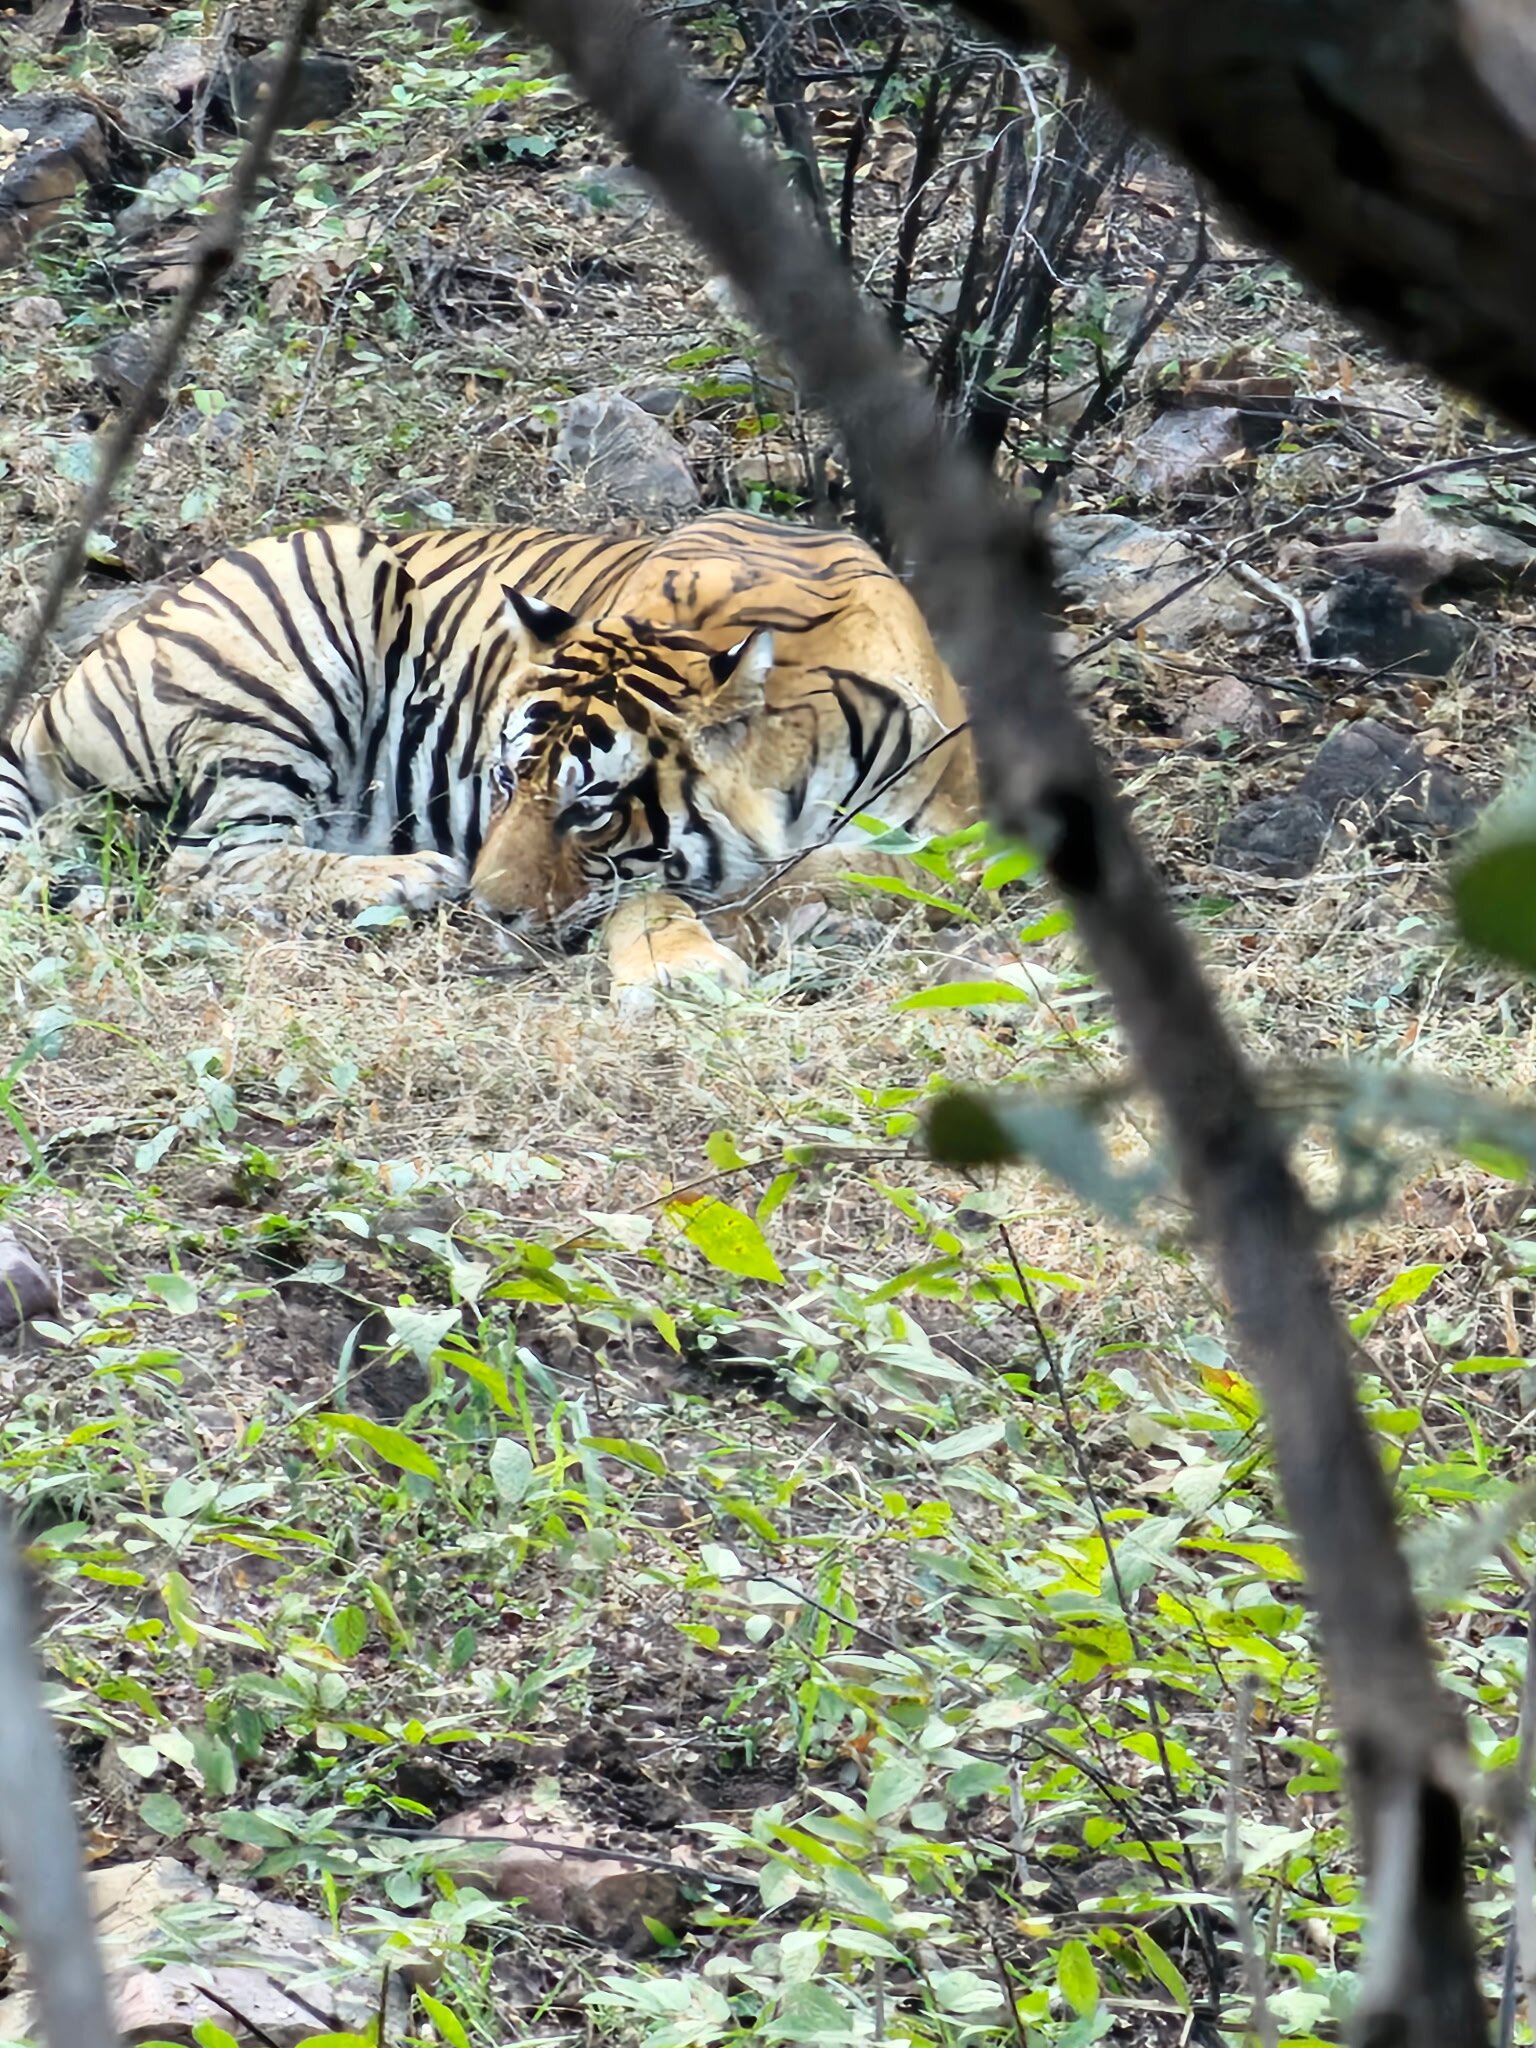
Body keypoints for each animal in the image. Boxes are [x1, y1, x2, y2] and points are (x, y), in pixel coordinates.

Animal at [0, 510, 977, 989]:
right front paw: (684, 965)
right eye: (505, 778)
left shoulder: (962, 842)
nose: (488, 909)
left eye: (590, 808)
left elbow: (840, 871)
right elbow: (656, 895)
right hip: (307, 614)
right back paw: (407, 877)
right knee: (206, 863)